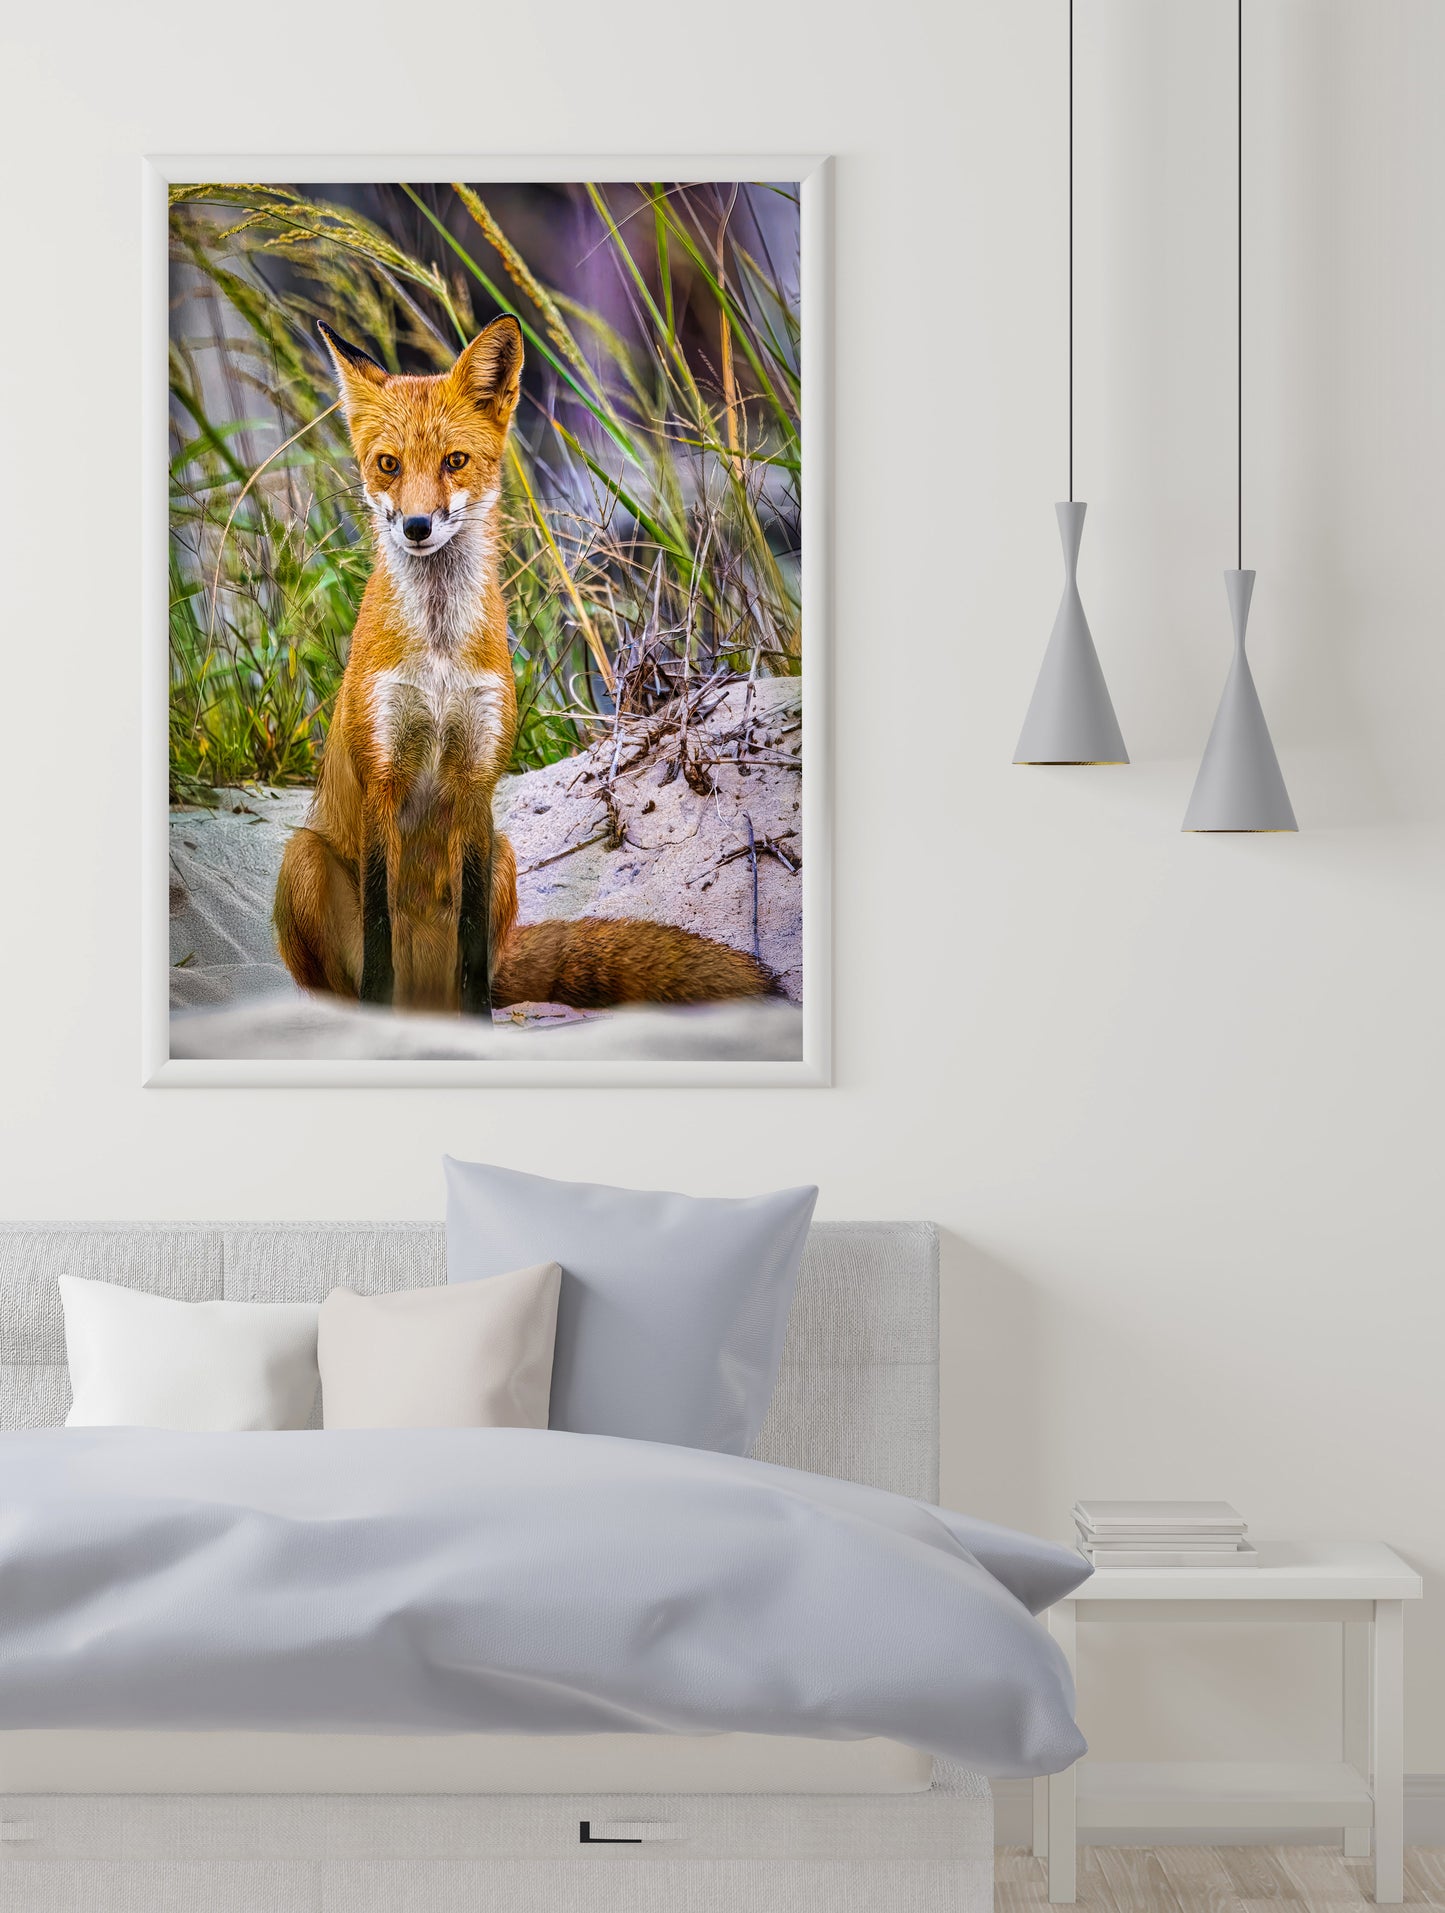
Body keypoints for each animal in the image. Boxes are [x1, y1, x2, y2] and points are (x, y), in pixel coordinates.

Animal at [273, 315, 775, 1018]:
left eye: (454, 461)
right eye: (388, 465)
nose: (418, 526)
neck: (439, 652)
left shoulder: (478, 778)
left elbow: (472, 935)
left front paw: (477, 1027)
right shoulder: (382, 776)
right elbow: (376, 929)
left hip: (505, 855)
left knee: (482, 963)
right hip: (303, 859)